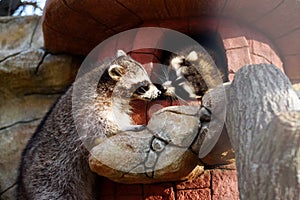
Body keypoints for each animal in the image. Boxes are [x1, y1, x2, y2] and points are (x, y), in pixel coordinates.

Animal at [16, 50, 161, 200]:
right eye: (143, 87)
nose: (159, 92)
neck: (108, 84)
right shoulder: (90, 106)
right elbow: (99, 125)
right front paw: (124, 127)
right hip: (50, 181)